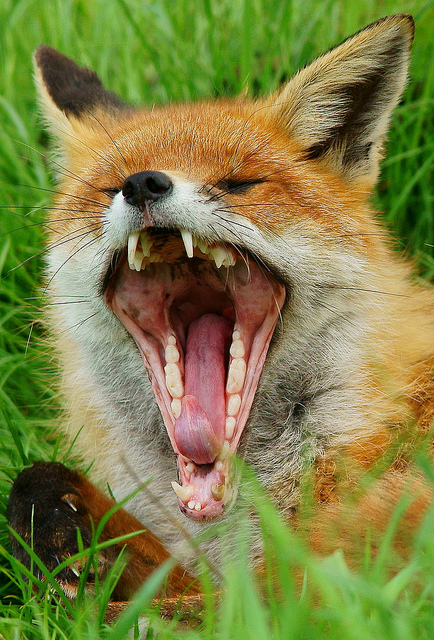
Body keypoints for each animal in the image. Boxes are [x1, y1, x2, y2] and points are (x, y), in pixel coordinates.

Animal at [8, 13, 434, 612]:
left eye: (239, 184)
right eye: (108, 188)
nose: (143, 183)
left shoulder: (327, 560)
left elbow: (219, 609)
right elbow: (31, 480)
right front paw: (79, 548)